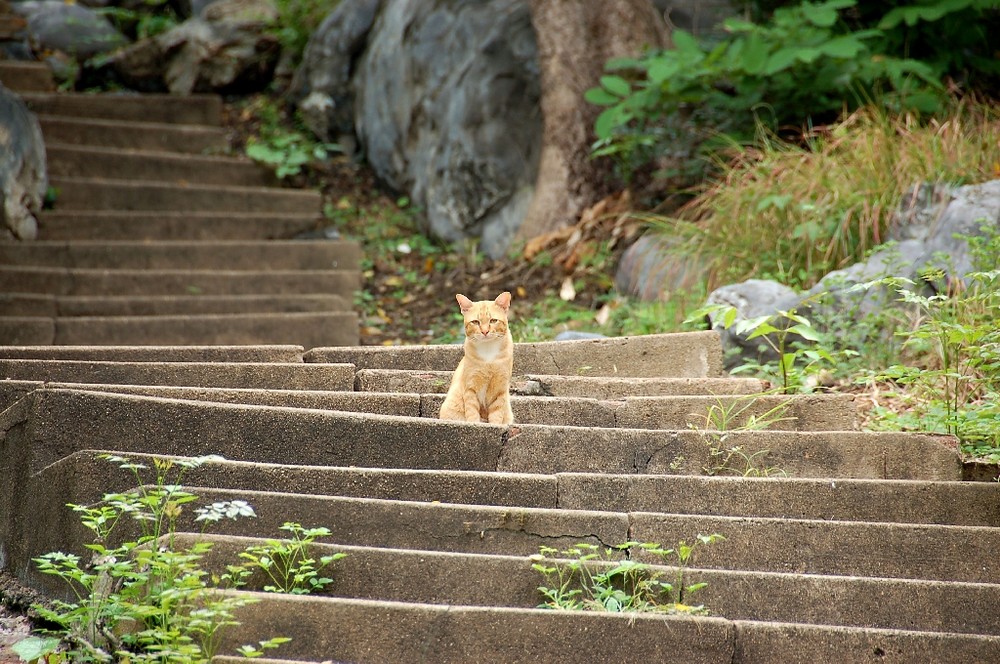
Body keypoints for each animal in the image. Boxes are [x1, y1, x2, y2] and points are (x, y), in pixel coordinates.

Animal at [438, 290, 516, 426]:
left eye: (493, 320)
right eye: (475, 322)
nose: (485, 332)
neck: (488, 351)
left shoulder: (500, 389)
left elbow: (497, 413)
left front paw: (495, 425)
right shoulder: (471, 387)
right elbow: (472, 410)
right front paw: (474, 423)